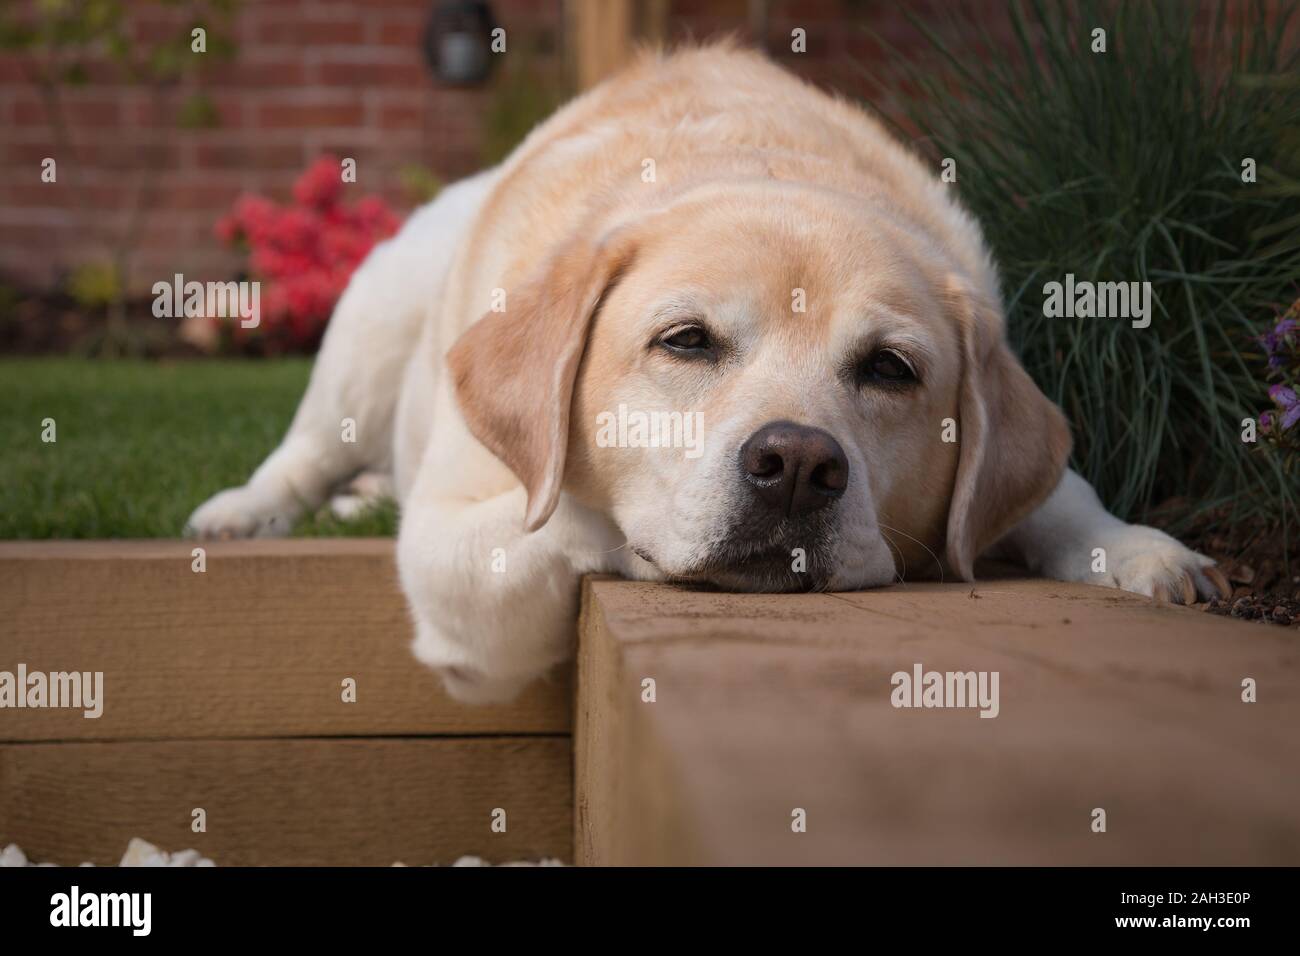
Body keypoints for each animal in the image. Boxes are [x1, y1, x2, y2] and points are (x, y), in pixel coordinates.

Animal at [188, 44, 1222, 702]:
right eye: (685, 341)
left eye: (890, 369)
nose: (798, 465)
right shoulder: (453, 570)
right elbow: (561, 521)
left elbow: (1063, 494)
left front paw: (1142, 551)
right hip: (371, 320)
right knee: (306, 448)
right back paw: (247, 509)